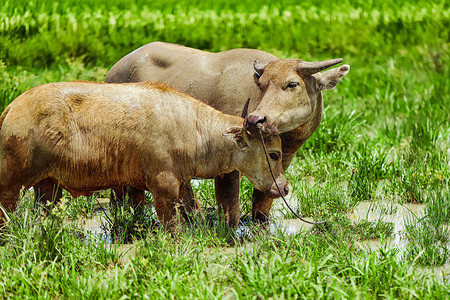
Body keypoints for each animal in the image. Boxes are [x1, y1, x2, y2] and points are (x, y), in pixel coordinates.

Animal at [0, 81, 288, 229]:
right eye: (274, 155)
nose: (284, 188)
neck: (192, 128)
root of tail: (14, 106)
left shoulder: (182, 183)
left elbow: (192, 211)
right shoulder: (164, 186)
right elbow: (170, 223)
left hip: (47, 186)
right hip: (12, 184)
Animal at [106, 41, 352, 226]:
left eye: (292, 84)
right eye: (262, 84)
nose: (256, 119)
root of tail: (114, 70)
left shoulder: (280, 162)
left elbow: (262, 203)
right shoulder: (227, 163)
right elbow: (229, 207)